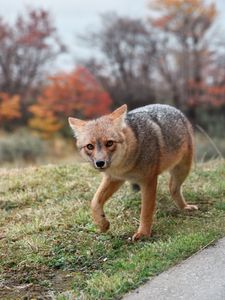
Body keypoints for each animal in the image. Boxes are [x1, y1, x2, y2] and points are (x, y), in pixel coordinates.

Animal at [68, 104, 197, 240]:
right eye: (90, 146)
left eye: (109, 143)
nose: (100, 163)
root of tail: (172, 107)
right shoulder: (114, 178)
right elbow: (94, 201)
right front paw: (102, 223)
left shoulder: (148, 181)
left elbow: (146, 211)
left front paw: (143, 233)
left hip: (182, 169)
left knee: (173, 188)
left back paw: (185, 207)